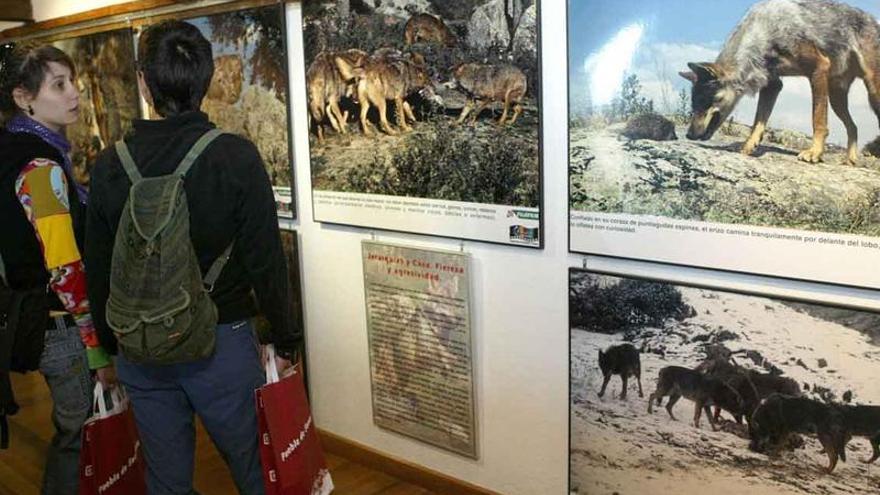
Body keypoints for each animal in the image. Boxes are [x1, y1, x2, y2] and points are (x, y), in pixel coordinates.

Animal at [680, 0, 880, 167]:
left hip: (871, 93)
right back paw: (850, 161)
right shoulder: (772, 86)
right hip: (836, 98)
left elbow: (818, 120)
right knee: (853, 127)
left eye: (704, 102)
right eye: (693, 105)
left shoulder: (818, 68)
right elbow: (758, 122)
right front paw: (747, 147)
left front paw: (814, 153)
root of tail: (873, 20)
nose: (688, 135)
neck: (765, 31)